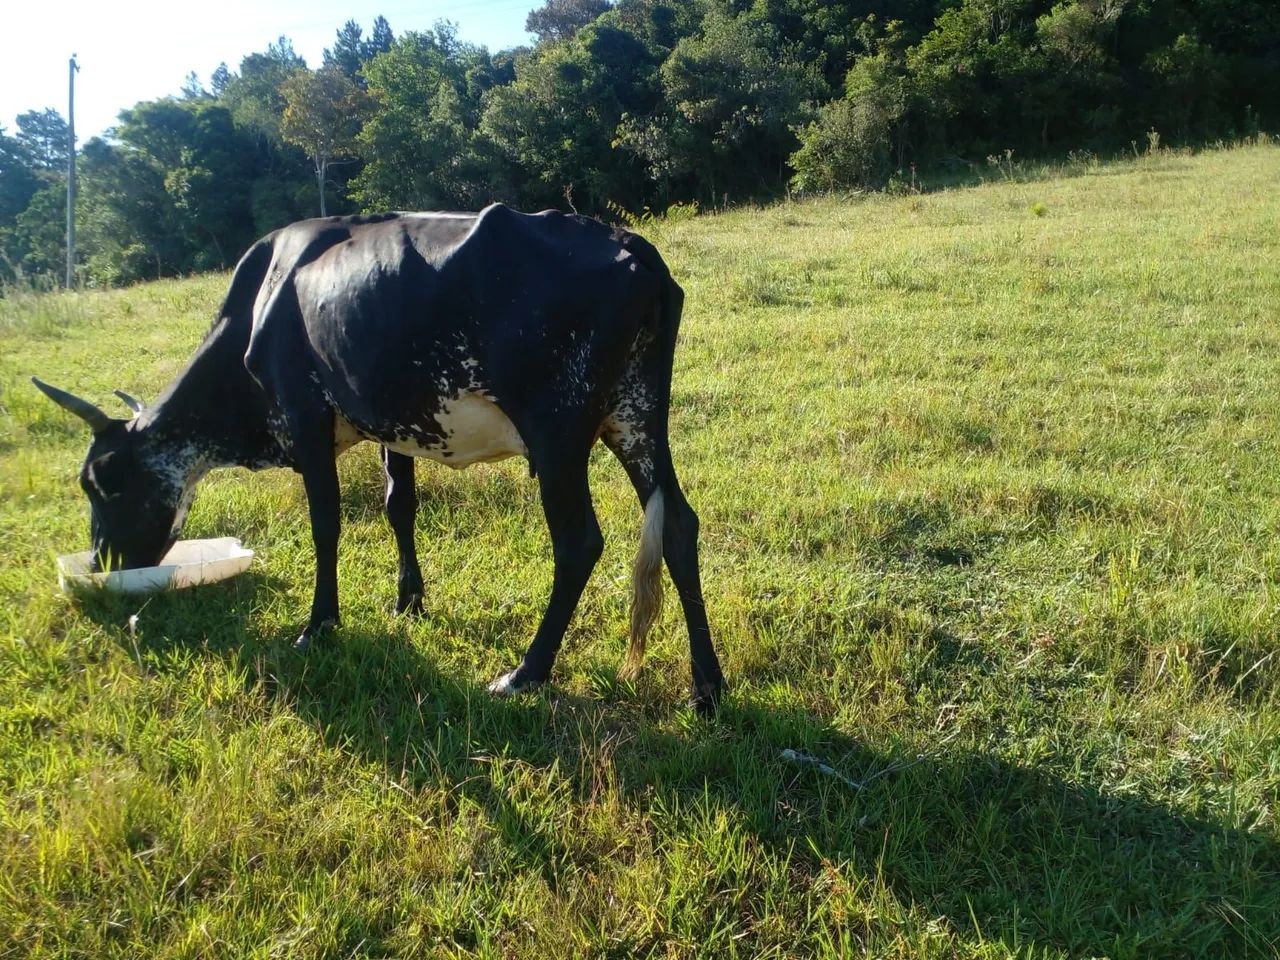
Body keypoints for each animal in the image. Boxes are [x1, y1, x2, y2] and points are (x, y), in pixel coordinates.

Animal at [33, 204, 725, 713]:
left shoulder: (305, 418)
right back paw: (707, 684)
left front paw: (318, 626)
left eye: (101, 480)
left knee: (579, 541)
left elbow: (327, 524)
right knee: (679, 524)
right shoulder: (392, 423)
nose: (103, 562)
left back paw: (527, 671)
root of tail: (632, 245)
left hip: (557, 430)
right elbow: (399, 506)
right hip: (636, 417)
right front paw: (409, 602)